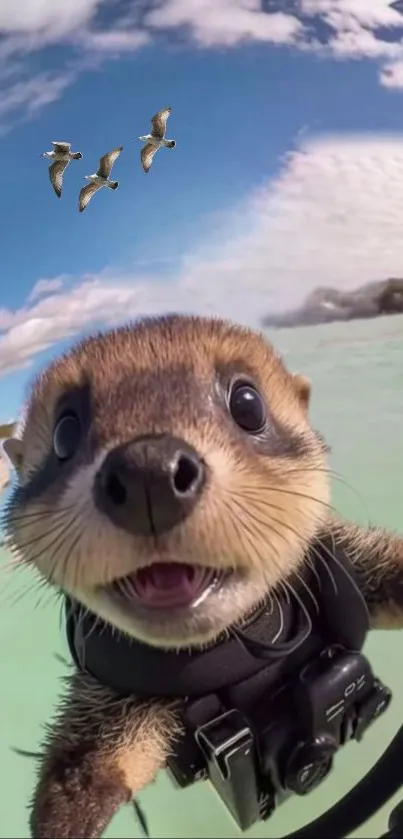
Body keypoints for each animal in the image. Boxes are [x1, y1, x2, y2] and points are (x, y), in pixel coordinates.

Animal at [3, 316, 403, 839]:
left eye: (248, 403)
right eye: (64, 433)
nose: (149, 467)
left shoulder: (347, 559)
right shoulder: (116, 700)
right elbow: (86, 764)